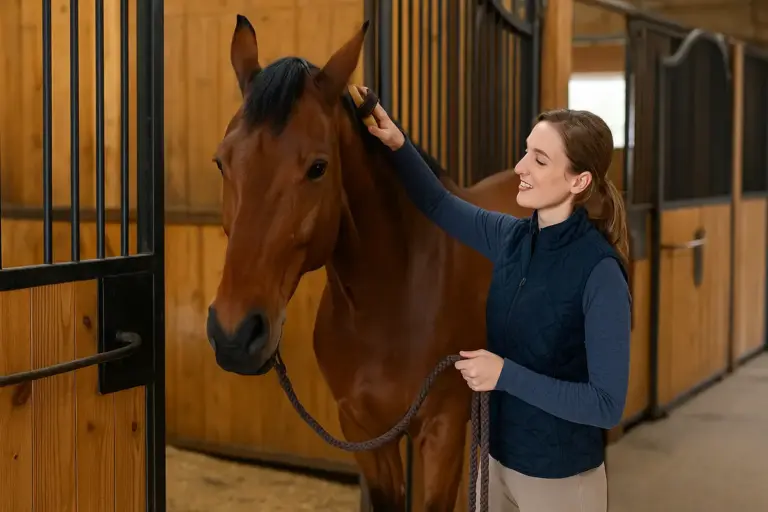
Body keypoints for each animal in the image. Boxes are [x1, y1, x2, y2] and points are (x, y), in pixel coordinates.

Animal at [205, 14, 531, 511]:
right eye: (222, 163)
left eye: (318, 167)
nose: (234, 335)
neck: (391, 298)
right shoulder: (363, 431)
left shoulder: (442, 429)